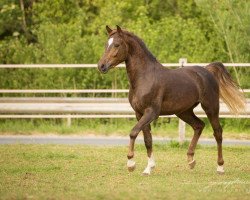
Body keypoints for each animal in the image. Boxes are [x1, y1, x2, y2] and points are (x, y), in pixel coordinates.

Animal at [96, 25, 245, 175]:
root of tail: (207, 70)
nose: (101, 66)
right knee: (199, 126)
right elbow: (147, 140)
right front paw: (149, 168)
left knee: (217, 132)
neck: (144, 78)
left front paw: (131, 163)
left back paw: (220, 167)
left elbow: (133, 132)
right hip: (184, 112)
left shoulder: (151, 112)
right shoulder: (139, 114)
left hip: (211, 107)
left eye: (117, 44)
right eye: (106, 44)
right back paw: (191, 160)